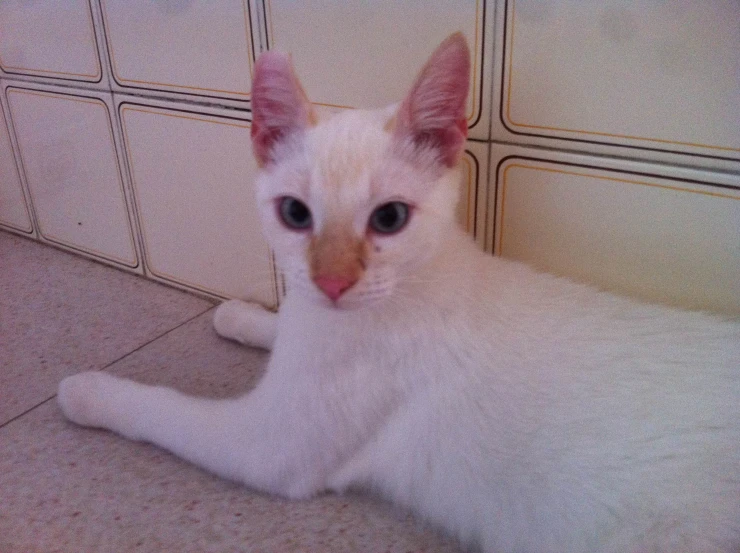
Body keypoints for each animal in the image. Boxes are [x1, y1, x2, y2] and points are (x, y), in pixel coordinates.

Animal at [59, 35, 740, 552]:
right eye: (294, 213)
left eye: (388, 219)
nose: (333, 281)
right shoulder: (308, 326)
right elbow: (284, 321)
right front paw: (242, 315)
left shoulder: (271, 448)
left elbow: (162, 408)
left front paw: (89, 392)